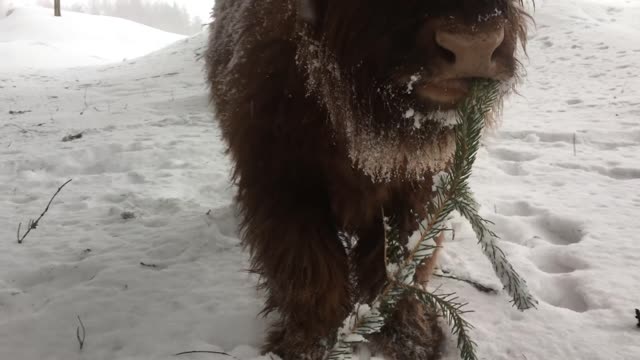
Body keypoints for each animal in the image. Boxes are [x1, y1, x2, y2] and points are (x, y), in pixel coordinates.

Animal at [206, 1, 528, 358]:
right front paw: (309, 344)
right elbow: (309, 269)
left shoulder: (420, 185)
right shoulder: (282, 185)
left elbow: (402, 263)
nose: (474, 44)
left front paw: (408, 337)